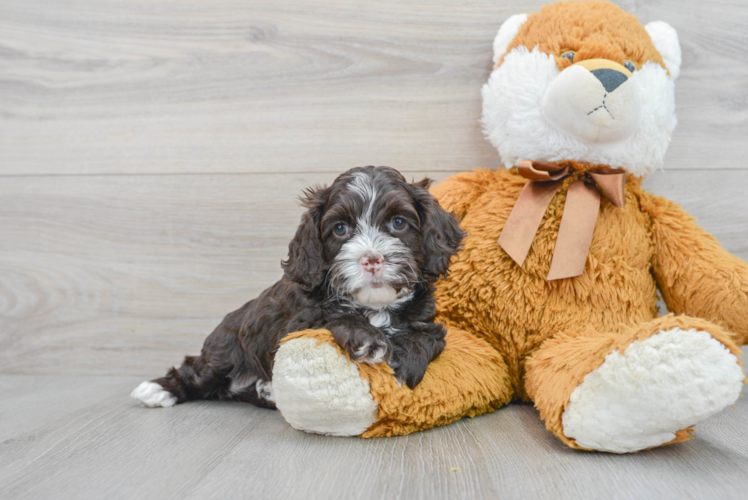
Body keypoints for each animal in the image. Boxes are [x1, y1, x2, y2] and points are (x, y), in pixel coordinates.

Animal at [131, 166, 464, 408]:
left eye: (398, 223)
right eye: (340, 229)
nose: (371, 259)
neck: (374, 305)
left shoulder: (427, 321)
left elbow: (427, 337)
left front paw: (403, 366)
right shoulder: (296, 323)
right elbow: (332, 315)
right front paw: (367, 338)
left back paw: (267, 390)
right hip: (225, 350)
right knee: (198, 370)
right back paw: (158, 389)